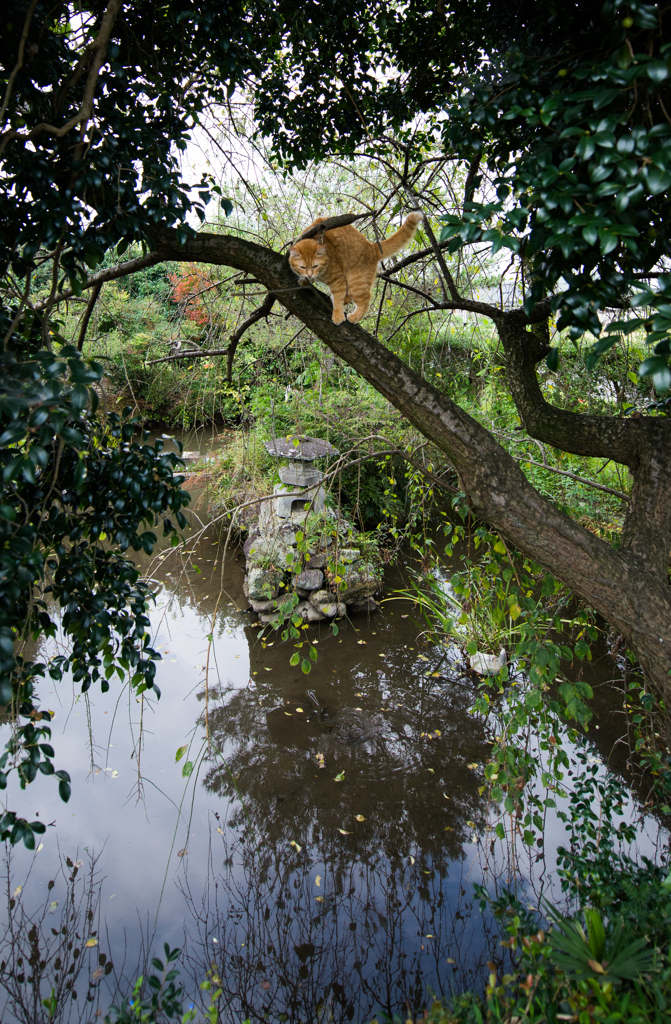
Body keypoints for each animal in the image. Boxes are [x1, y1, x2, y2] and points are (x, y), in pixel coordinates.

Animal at [286, 214, 422, 325]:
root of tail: (372, 247)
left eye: (315, 266)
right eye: (302, 267)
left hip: (356, 282)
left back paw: (355, 317)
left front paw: (338, 315)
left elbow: (338, 298)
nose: (309, 275)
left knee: (365, 299)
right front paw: (304, 280)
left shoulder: (338, 280)